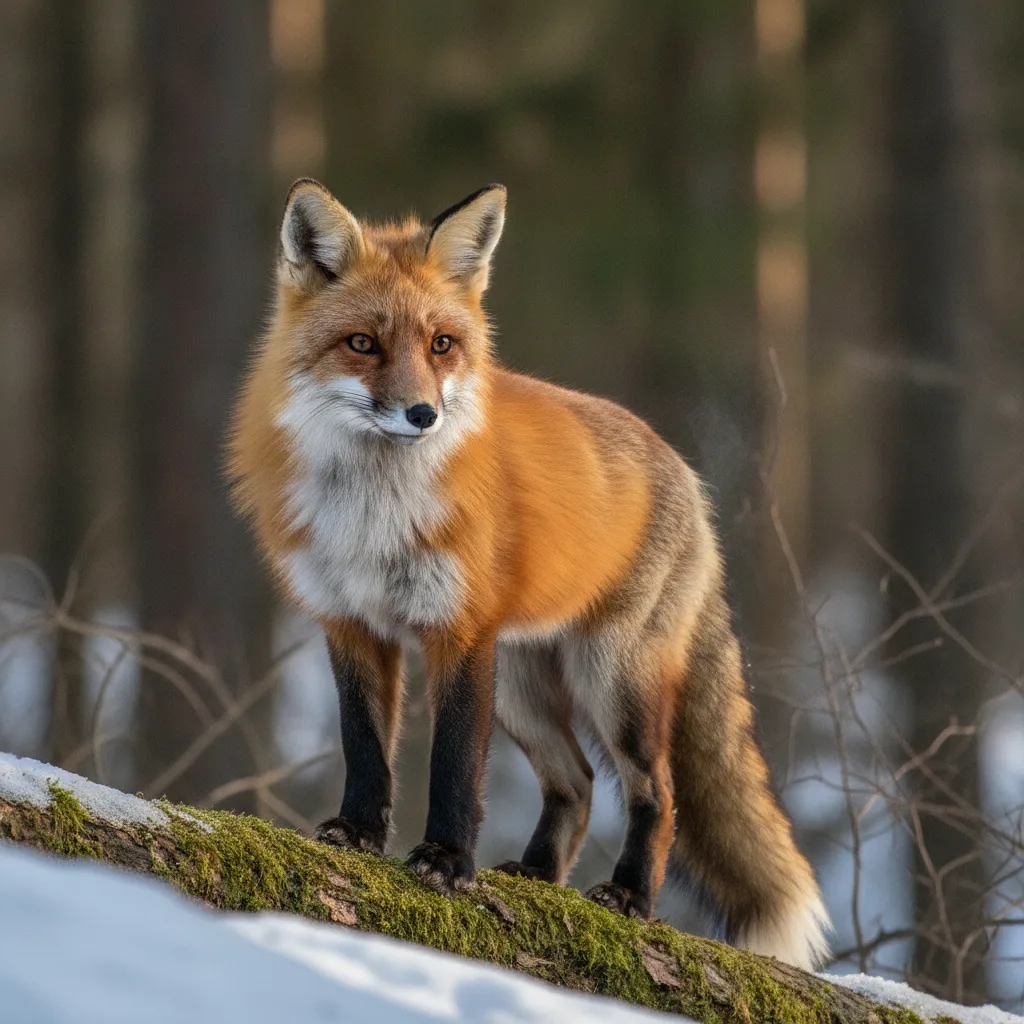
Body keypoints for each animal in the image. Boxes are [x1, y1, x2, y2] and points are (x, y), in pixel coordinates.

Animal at [227, 179, 831, 970]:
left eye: (441, 345)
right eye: (362, 344)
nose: (422, 414)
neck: (374, 513)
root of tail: (686, 474)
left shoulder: (459, 632)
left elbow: (455, 763)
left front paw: (447, 862)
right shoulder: (351, 622)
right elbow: (365, 748)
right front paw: (357, 834)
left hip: (611, 680)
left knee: (656, 790)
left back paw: (630, 896)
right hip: (520, 686)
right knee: (576, 782)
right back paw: (540, 876)